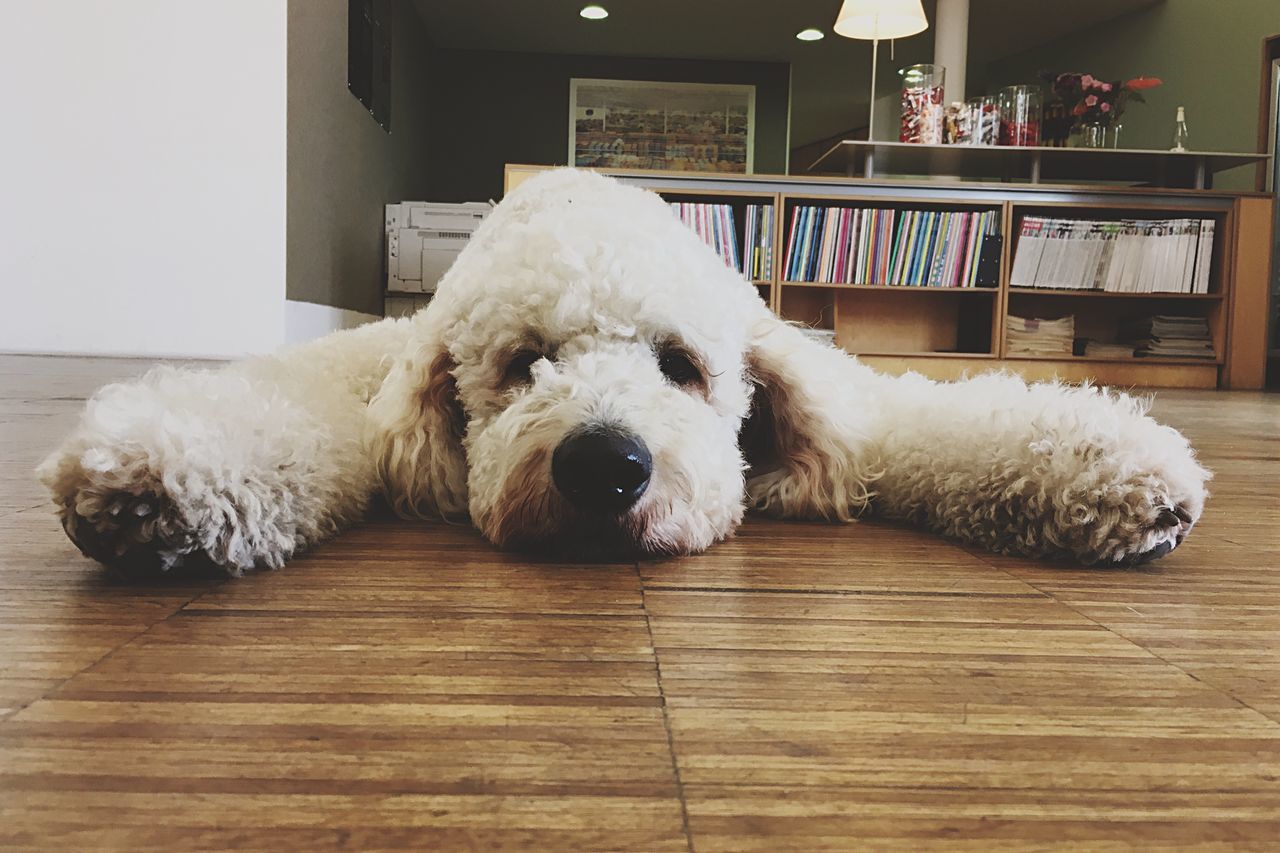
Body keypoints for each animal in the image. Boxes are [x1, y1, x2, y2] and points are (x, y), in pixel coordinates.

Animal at [42, 169, 1208, 573]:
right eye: (522, 365)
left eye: (682, 365)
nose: (604, 466)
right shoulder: (367, 366)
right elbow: (287, 405)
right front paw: (152, 481)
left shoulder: (839, 388)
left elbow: (930, 425)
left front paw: (1113, 472)